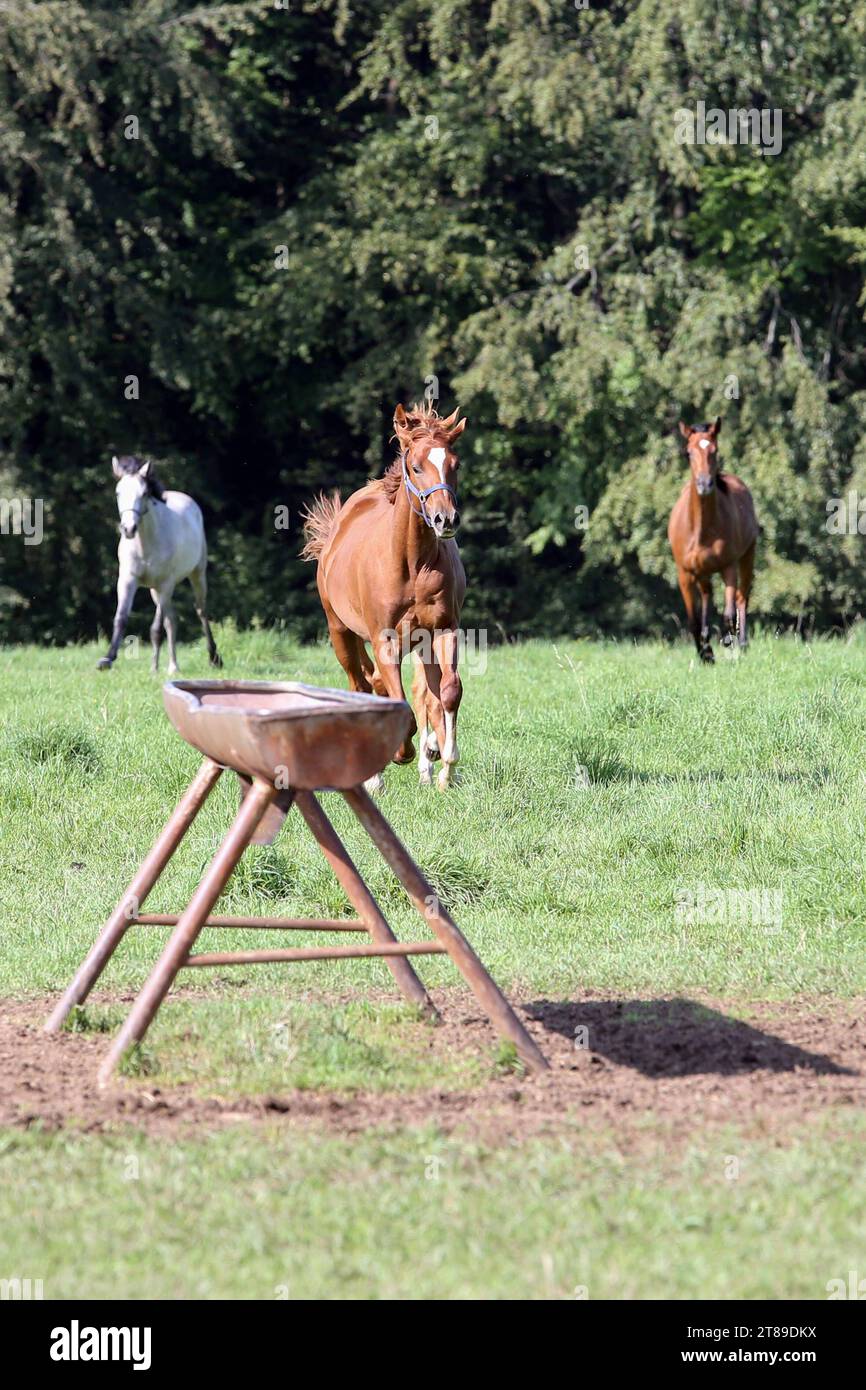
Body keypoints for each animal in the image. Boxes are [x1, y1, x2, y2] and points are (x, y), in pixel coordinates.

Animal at [97, 455, 222, 673]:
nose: (128, 529)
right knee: (171, 621)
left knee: (200, 610)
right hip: (154, 590)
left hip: (196, 575)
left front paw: (153, 669)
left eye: (144, 493)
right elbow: (120, 619)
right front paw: (107, 659)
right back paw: (171, 666)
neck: (146, 544)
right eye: (118, 492)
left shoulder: (165, 584)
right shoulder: (127, 580)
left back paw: (213, 657)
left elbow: (155, 629)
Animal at [302, 402, 467, 790]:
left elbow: (448, 691)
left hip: (420, 642)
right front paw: (402, 753)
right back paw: (374, 776)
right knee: (362, 685)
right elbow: (399, 701)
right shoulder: (384, 639)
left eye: (455, 464)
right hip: (340, 633)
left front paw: (446, 766)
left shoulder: (444, 629)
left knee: (417, 690)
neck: (413, 563)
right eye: (416, 466)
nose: (445, 519)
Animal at [668, 418, 758, 663]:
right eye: (688, 453)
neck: (699, 530)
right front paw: (705, 654)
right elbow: (693, 620)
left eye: (714, 450)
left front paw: (727, 640)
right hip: (702, 573)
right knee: (707, 595)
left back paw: (742, 643)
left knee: (741, 598)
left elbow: (728, 612)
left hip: (747, 557)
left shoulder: (728, 567)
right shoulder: (685, 574)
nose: (705, 484)